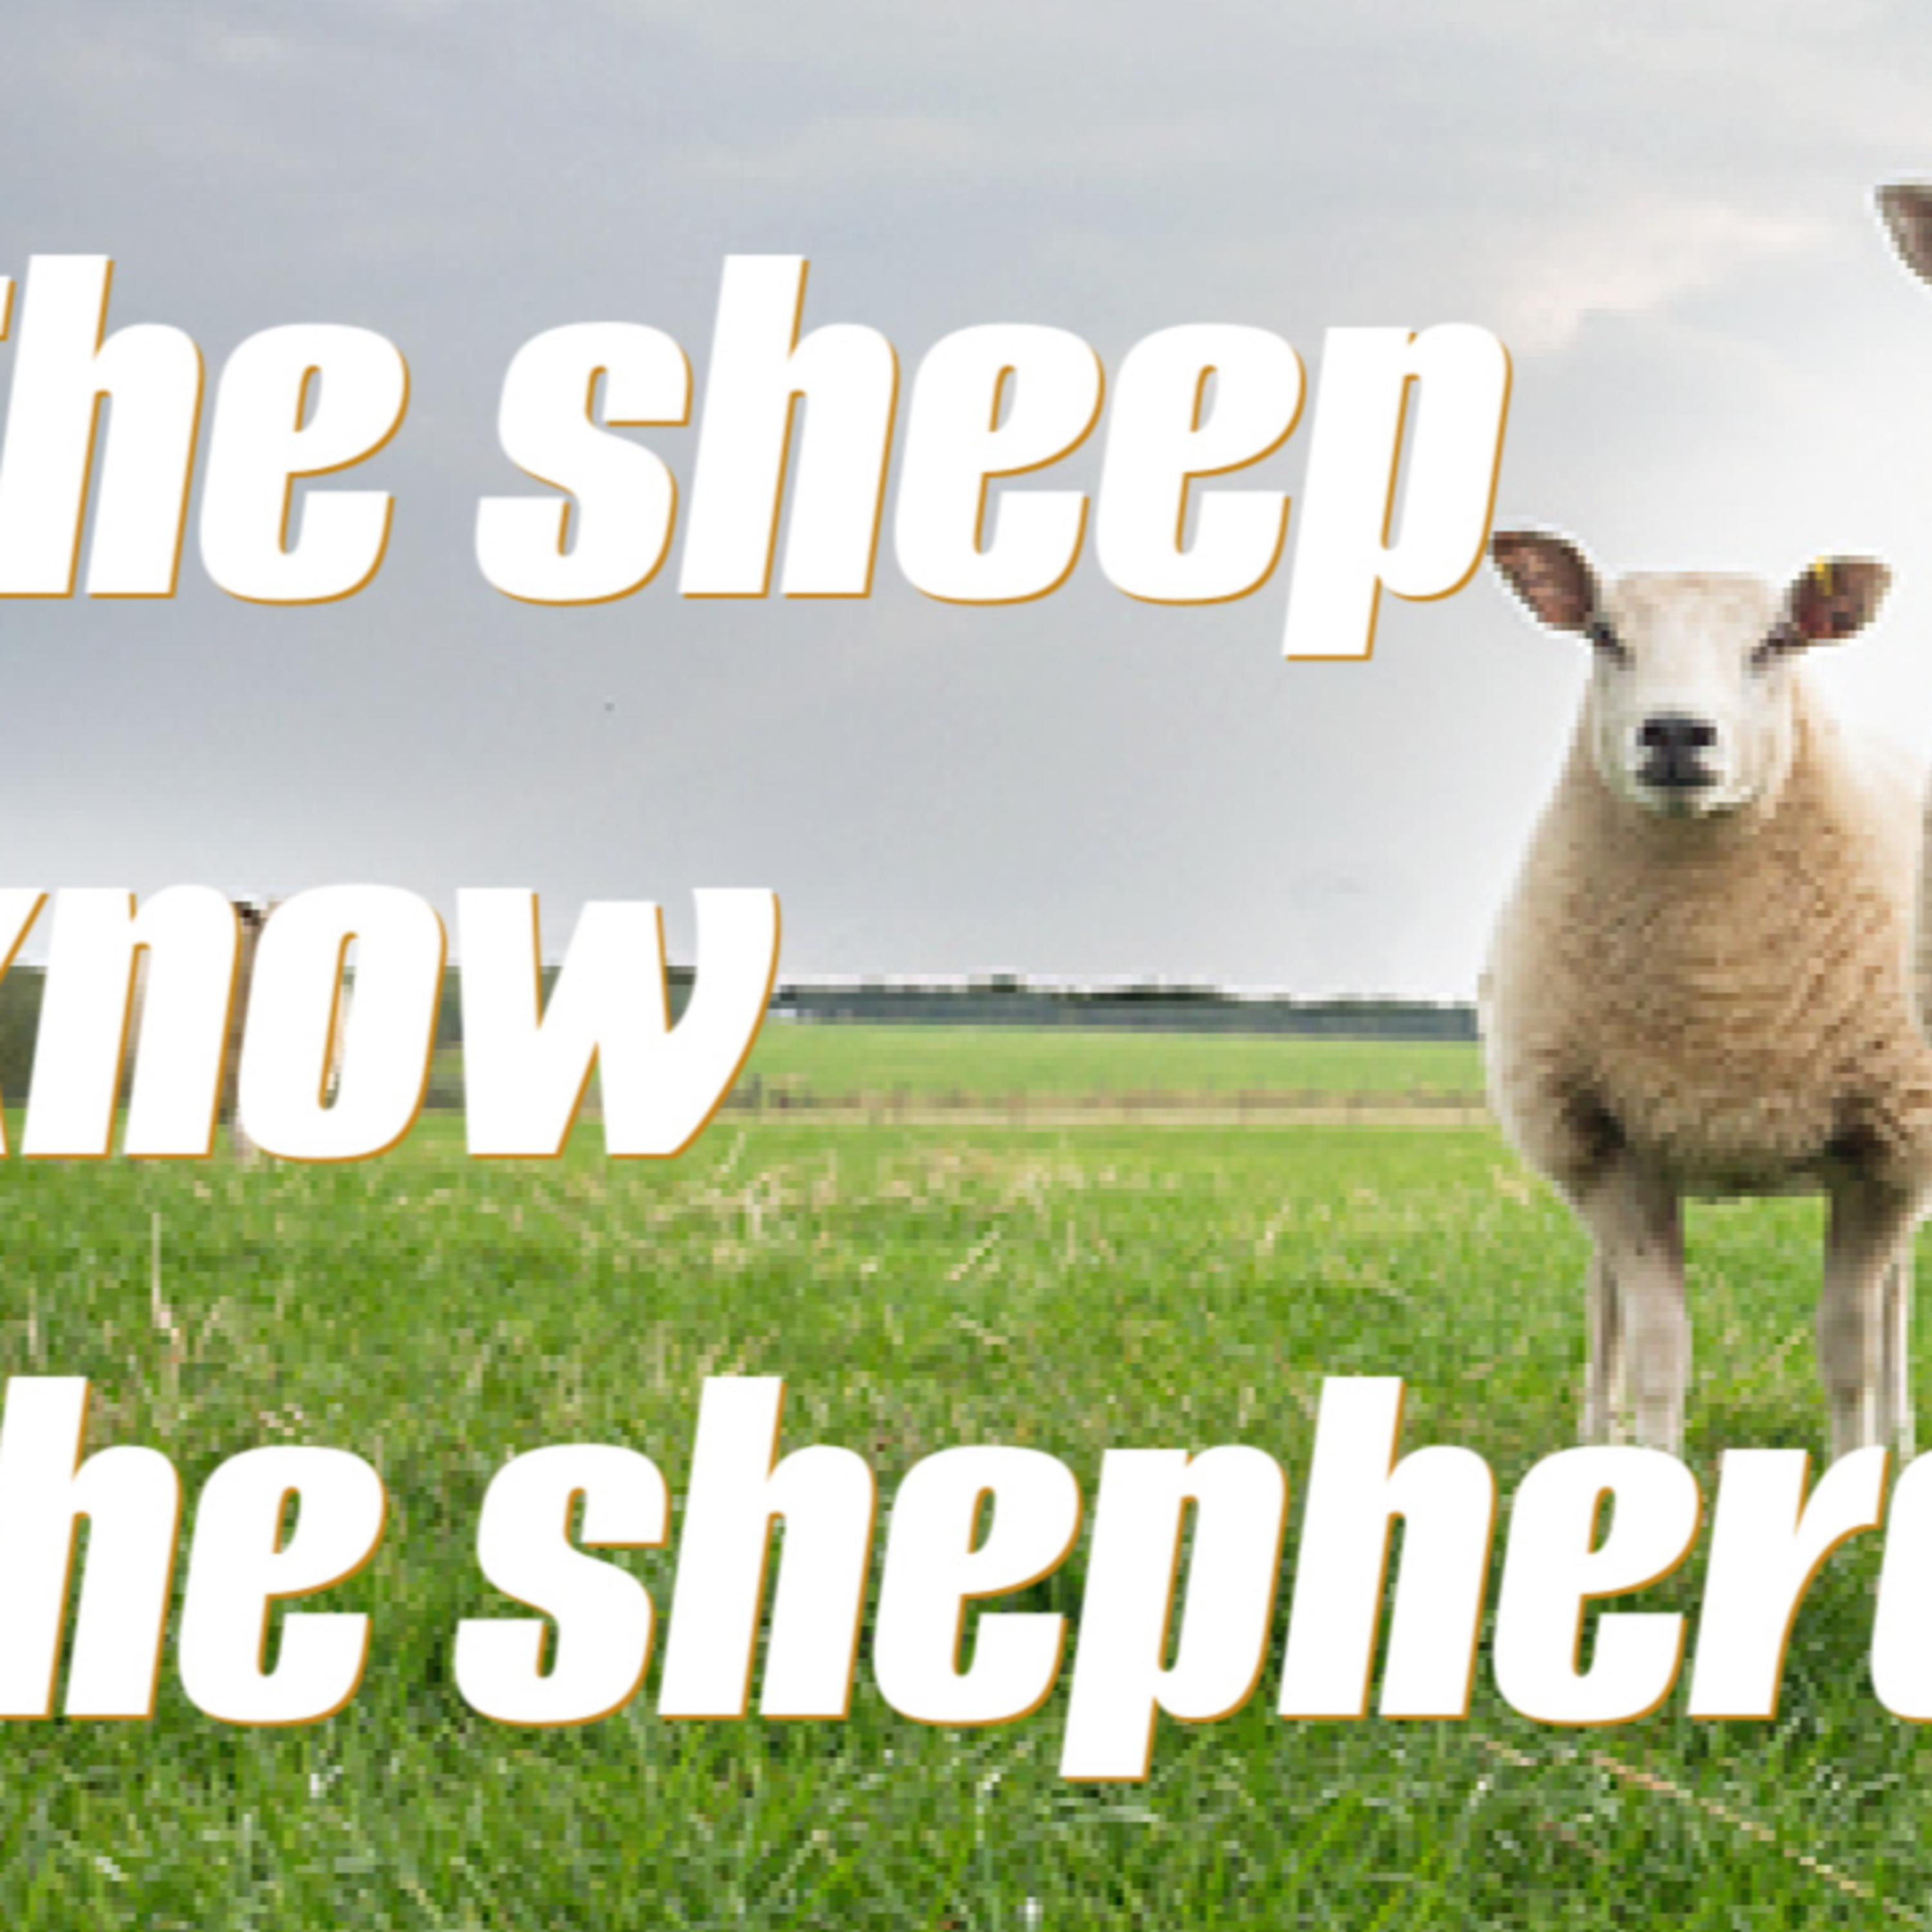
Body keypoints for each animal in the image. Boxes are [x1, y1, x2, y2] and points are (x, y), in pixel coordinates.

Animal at [1483, 530, 1932, 1461]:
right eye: (1605, 635)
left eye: (1776, 641)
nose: (1677, 732)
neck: (1720, 993)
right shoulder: (1612, 1144)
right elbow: (1659, 1346)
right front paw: (1648, 1462)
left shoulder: (1885, 1152)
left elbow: (1850, 1346)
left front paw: (1856, 1463)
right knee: (1604, 1299)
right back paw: (1598, 1433)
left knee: (1895, 1299)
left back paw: (1898, 1436)